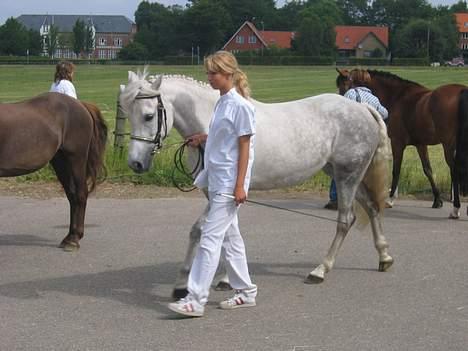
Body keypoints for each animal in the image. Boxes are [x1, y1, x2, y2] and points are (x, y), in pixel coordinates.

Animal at [0, 92, 107, 249]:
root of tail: (81, 104)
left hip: (76, 158)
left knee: (81, 194)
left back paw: (74, 238)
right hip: (60, 161)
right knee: (72, 195)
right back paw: (69, 236)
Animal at [336, 67, 468, 219]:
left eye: (343, 85)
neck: (398, 97)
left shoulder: (397, 143)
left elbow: (396, 170)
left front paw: (390, 199)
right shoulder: (420, 144)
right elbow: (428, 170)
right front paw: (437, 200)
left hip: (449, 145)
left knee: (455, 171)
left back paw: (456, 209)